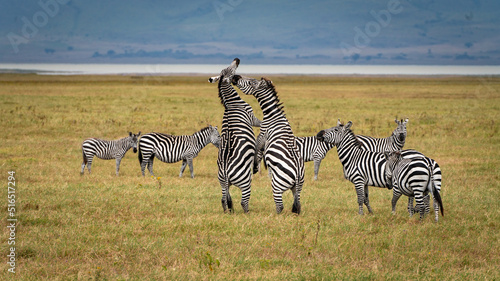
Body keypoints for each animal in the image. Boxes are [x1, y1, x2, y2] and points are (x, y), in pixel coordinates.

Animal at [208, 58, 262, 212]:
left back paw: (229, 211)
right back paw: (247, 213)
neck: (231, 104)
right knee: (244, 201)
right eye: (230, 70)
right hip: (245, 181)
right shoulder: (252, 117)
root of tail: (226, 173)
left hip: (222, 183)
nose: (237, 59)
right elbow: (261, 122)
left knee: (224, 199)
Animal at [231, 74, 304, 214]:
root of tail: (297, 174)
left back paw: (275, 215)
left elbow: (257, 150)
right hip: (297, 188)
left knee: (280, 205)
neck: (272, 114)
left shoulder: (262, 136)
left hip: (277, 184)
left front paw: (254, 166)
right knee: (297, 205)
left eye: (251, 82)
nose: (235, 77)